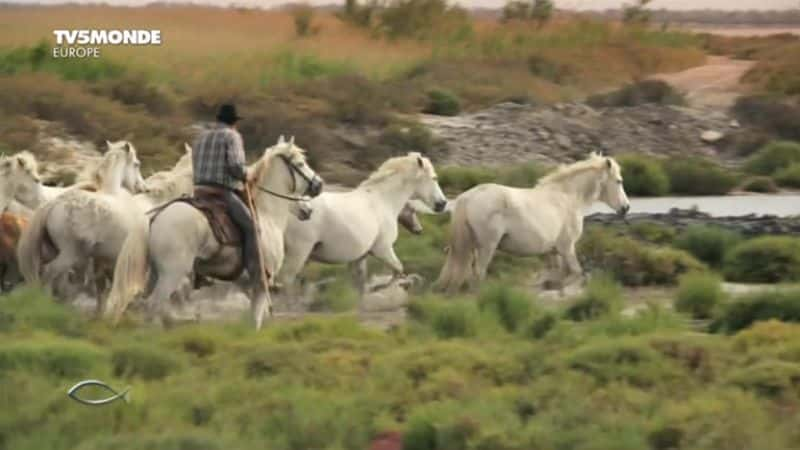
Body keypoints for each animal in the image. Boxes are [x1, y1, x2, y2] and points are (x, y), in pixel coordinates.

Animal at [16, 141, 148, 300]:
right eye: (136, 164)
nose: (142, 188)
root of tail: (54, 203)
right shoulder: (115, 258)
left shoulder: (99, 259)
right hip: (69, 254)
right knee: (49, 272)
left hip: (56, 251)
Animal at [108, 135, 324, 328]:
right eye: (301, 163)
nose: (319, 184)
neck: (266, 212)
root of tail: (157, 214)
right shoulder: (262, 281)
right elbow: (257, 319)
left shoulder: (246, 285)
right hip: (172, 274)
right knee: (154, 306)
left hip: (155, 273)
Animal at [278, 153, 446, 298]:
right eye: (434, 178)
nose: (442, 204)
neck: (383, 201)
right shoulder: (383, 249)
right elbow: (398, 270)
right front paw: (386, 288)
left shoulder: (360, 258)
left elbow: (360, 284)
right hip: (299, 252)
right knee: (286, 281)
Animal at [434, 151, 628, 292]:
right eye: (618, 181)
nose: (626, 208)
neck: (567, 197)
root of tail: (467, 197)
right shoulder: (567, 247)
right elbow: (575, 273)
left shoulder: (554, 252)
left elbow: (558, 276)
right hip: (487, 246)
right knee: (478, 273)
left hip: (471, 246)